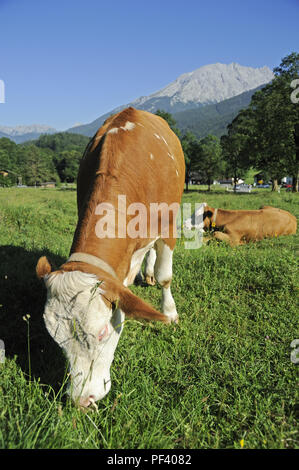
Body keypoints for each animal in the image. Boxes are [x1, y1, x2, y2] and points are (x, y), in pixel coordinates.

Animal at [35, 108, 185, 410]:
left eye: (103, 332)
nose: (82, 400)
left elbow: (165, 276)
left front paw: (169, 312)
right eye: (56, 338)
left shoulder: (168, 225)